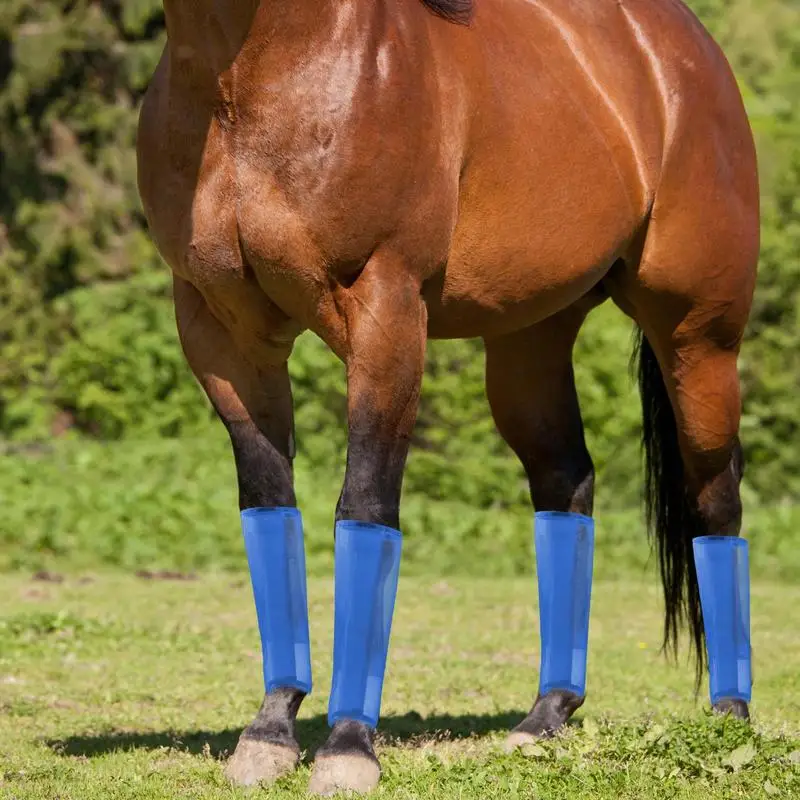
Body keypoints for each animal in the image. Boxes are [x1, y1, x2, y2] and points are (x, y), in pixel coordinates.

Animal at [141, 0, 760, 792]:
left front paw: (347, 747)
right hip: (530, 344)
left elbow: (366, 507)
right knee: (567, 484)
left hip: (697, 338)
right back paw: (546, 716)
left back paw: (729, 720)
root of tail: (689, 50)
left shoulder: (386, 310)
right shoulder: (221, 331)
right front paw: (270, 732)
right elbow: (269, 504)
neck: (249, 83)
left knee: (717, 499)